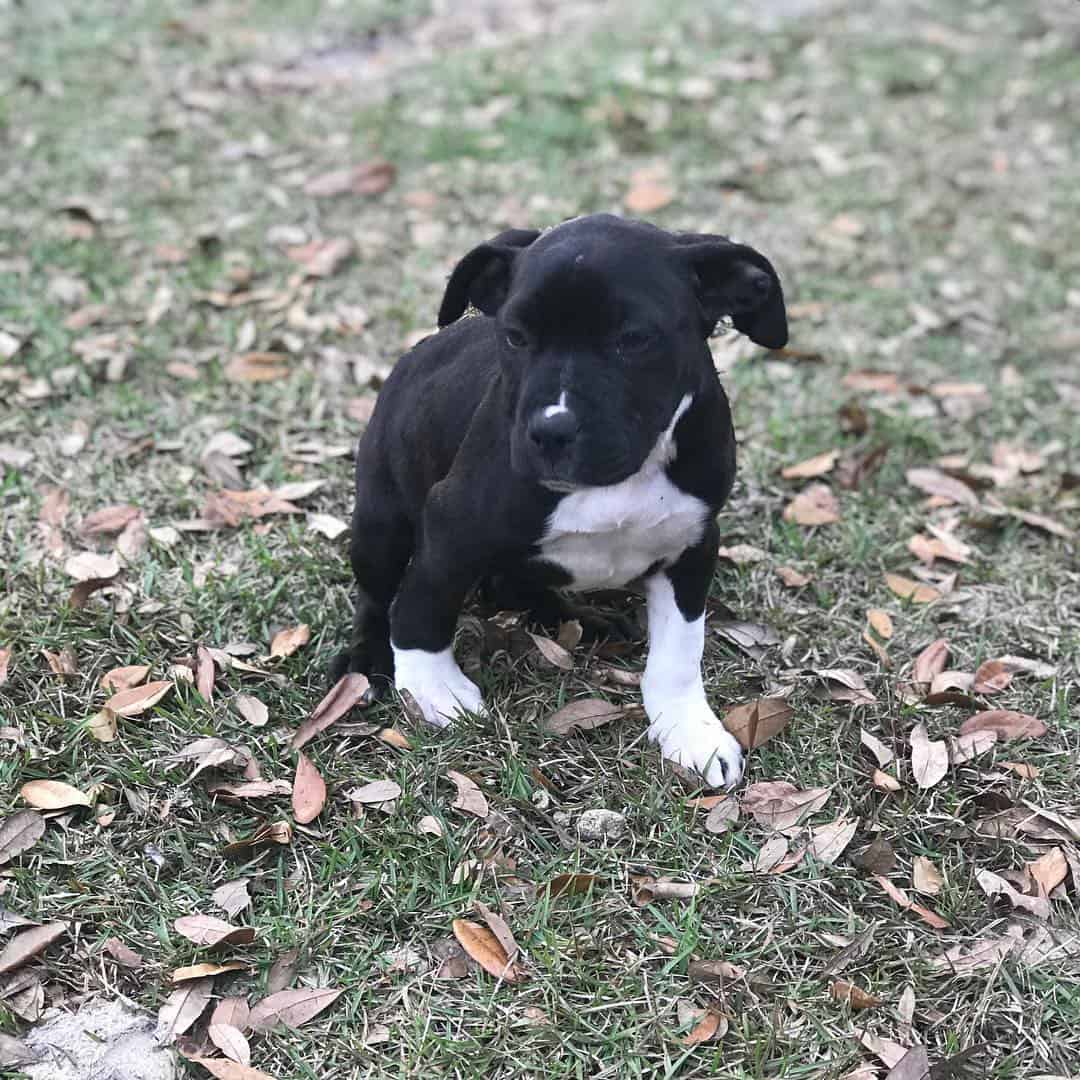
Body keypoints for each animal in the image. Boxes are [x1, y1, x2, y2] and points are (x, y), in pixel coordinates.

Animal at [328, 210, 786, 790]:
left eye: (634, 339)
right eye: (516, 337)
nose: (551, 430)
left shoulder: (693, 543)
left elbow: (680, 653)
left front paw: (688, 729)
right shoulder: (450, 526)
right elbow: (419, 608)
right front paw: (436, 688)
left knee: (514, 584)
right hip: (381, 524)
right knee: (378, 595)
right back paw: (366, 661)